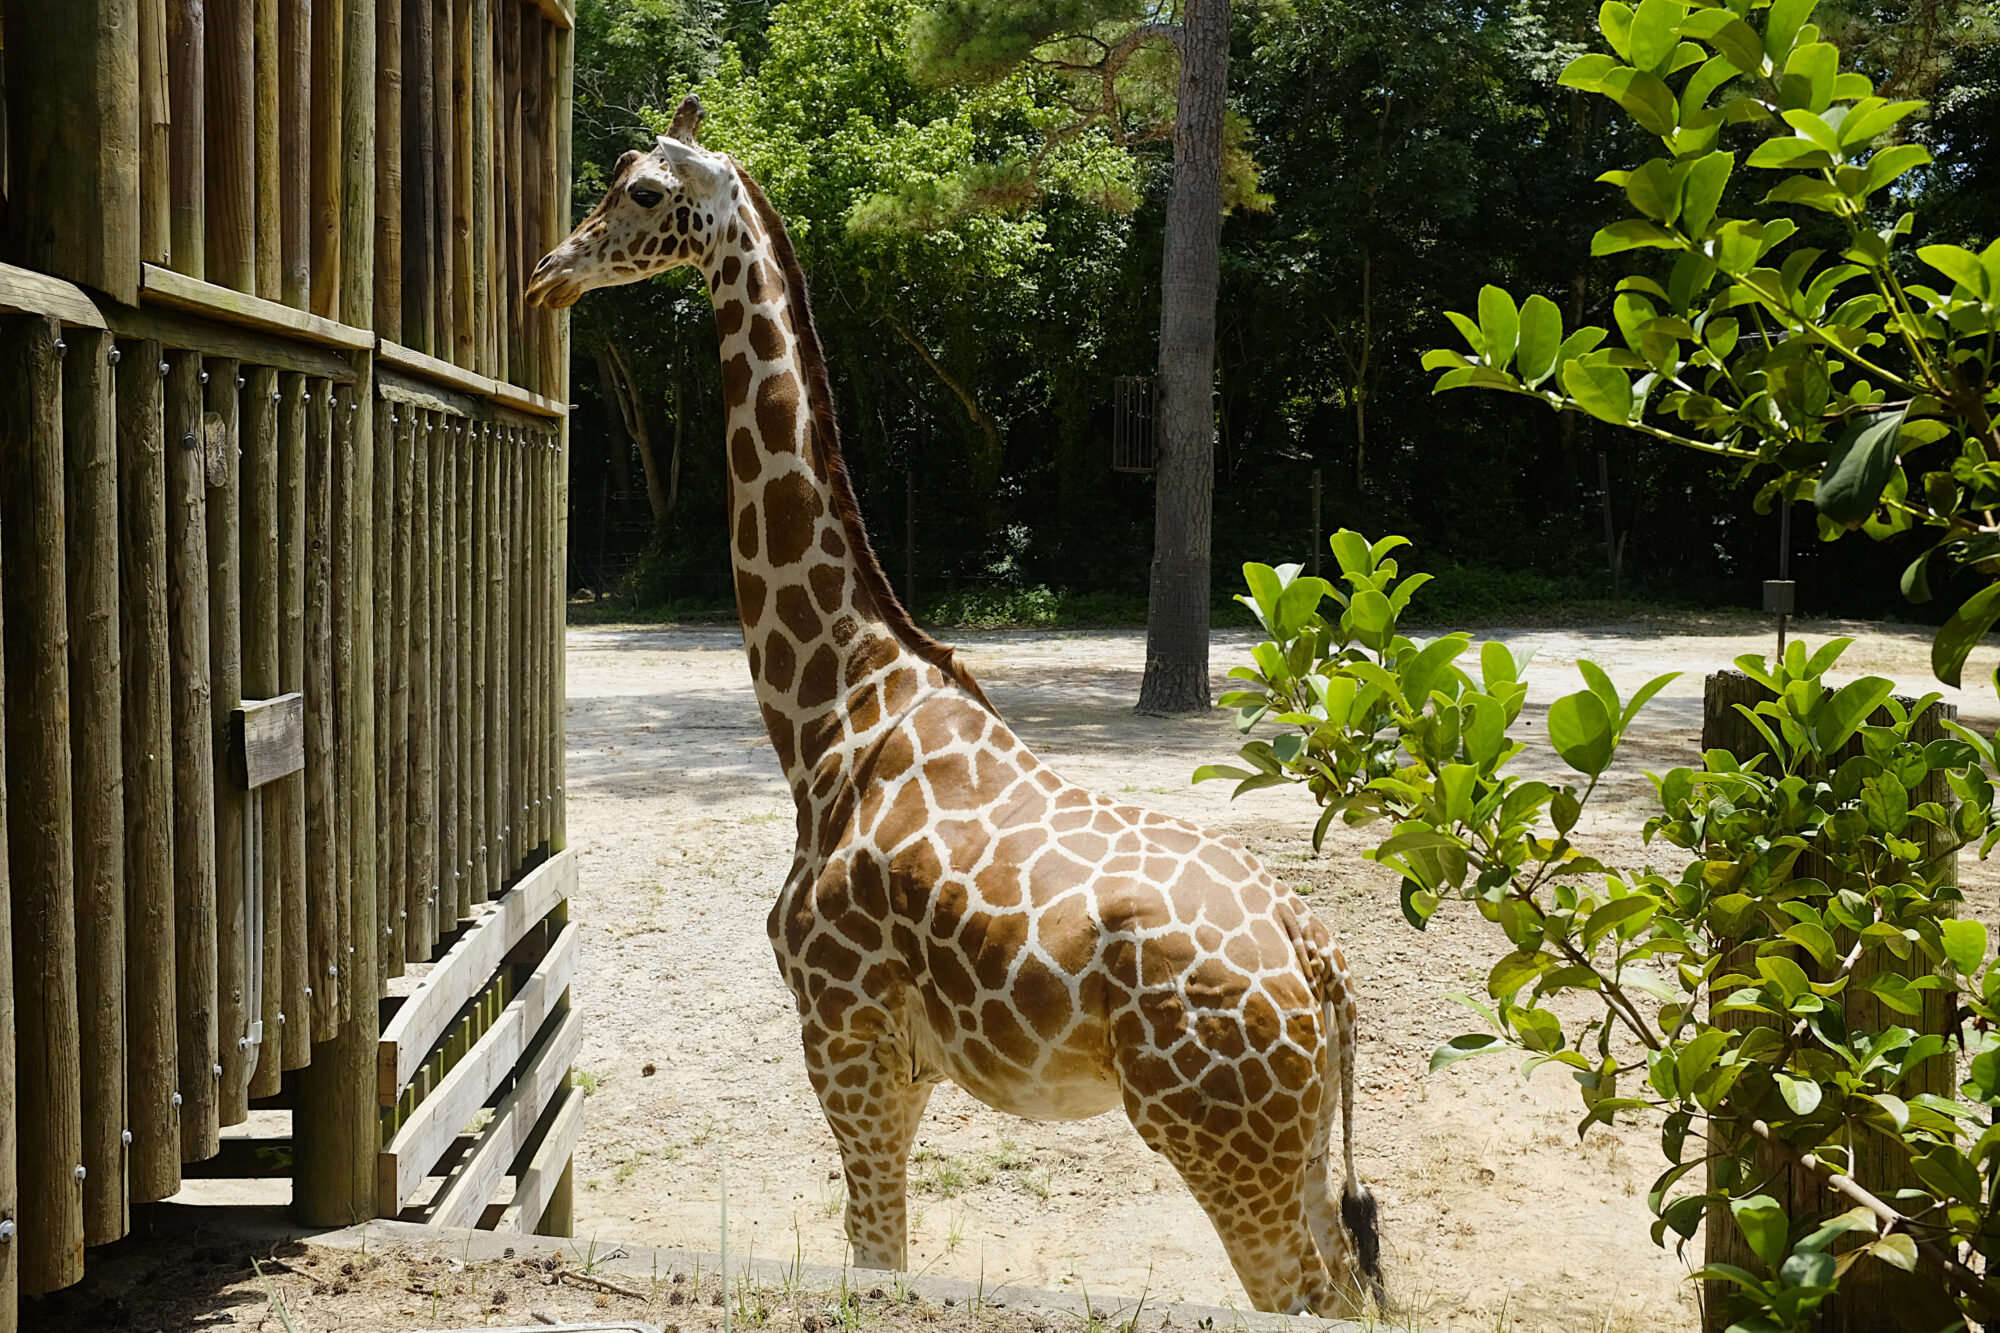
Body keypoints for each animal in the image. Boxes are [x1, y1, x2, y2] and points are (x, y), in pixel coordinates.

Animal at [524, 98, 1384, 1312]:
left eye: (640, 191)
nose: (547, 274)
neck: (833, 709)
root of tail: (1323, 964)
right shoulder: (896, 1063)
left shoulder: (846, 1037)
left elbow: (875, 1250)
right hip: (1296, 1142)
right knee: (1346, 1282)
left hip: (1221, 1137)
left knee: (1300, 1290)